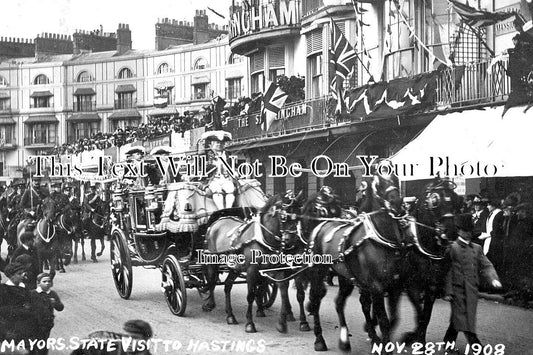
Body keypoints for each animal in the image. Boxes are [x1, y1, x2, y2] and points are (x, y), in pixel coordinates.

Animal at [201, 192, 306, 334]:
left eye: (299, 215)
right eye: (284, 217)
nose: (293, 240)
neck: (263, 237)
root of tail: (216, 223)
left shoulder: (278, 270)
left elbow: (284, 293)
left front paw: (282, 323)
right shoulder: (252, 270)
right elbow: (250, 295)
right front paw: (250, 324)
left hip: (235, 267)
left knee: (227, 285)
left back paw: (230, 315)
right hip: (213, 260)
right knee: (212, 280)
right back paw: (210, 304)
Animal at [302, 179, 460, 352]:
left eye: (455, 200)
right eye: (435, 200)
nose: (451, 232)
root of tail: (321, 226)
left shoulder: (420, 286)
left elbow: (419, 316)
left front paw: (415, 340)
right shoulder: (402, 285)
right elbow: (399, 317)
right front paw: (406, 339)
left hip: (347, 276)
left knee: (342, 302)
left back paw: (348, 338)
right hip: (318, 271)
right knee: (317, 299)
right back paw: (320, 338)